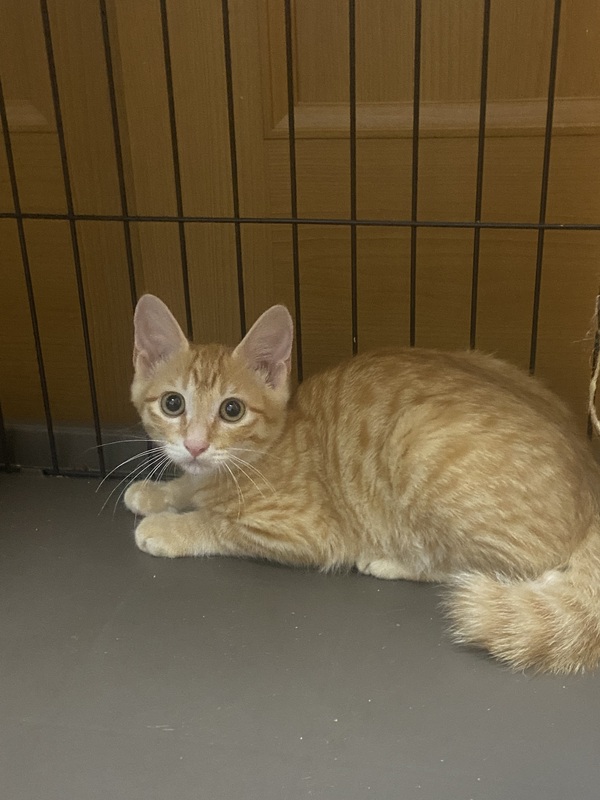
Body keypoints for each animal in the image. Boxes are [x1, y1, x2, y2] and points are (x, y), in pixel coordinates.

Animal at [124, 294, 600, 674]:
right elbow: (189, 485)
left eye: (232, 410)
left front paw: (169, 526)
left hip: (417, 442)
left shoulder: (306, 532)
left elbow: (218, 524)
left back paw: (391, 561)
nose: (196, 444)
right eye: (172, 404)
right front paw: (158, 490)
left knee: (490, 567)